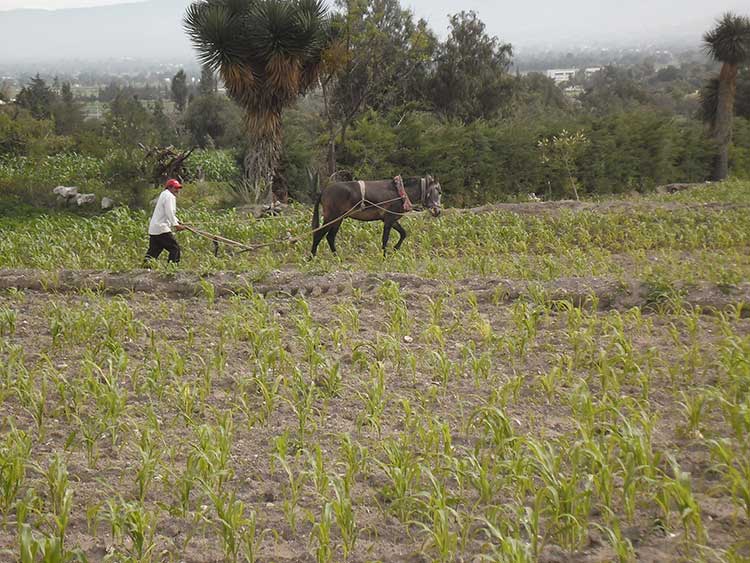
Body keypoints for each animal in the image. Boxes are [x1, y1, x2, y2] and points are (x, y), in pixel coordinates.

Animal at [310, 175, 440, 256]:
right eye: (439, 192)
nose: (438, 211)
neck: (400, 193)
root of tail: (323, 191)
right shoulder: (389, 219)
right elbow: (385, 238)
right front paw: (384, 256)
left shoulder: (391, 219)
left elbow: (403, 233)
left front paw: (395, 249)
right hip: (331, 217)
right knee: (318, 234)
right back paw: (312, 257)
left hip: (338, 219)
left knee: (330, 237)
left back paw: (337, 257)